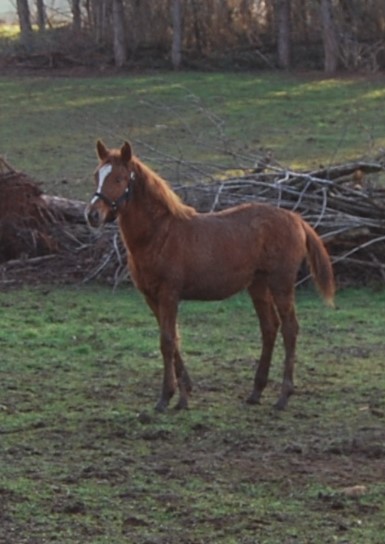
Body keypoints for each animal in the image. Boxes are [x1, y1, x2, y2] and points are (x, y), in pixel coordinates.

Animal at [85, 140, 332, 412]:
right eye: (96, 175)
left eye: (119, 178)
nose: (92, 215)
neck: (160, 234)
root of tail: (296, 219)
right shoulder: (151, 297)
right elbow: (173, 339)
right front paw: (184, 394)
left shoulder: (169, 294)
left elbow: (167, 340)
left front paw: (165, 397)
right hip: (258, 285)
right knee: (269, 328)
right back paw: (256, 391)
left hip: (281, 284)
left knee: (289, 328)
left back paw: (283, 396)